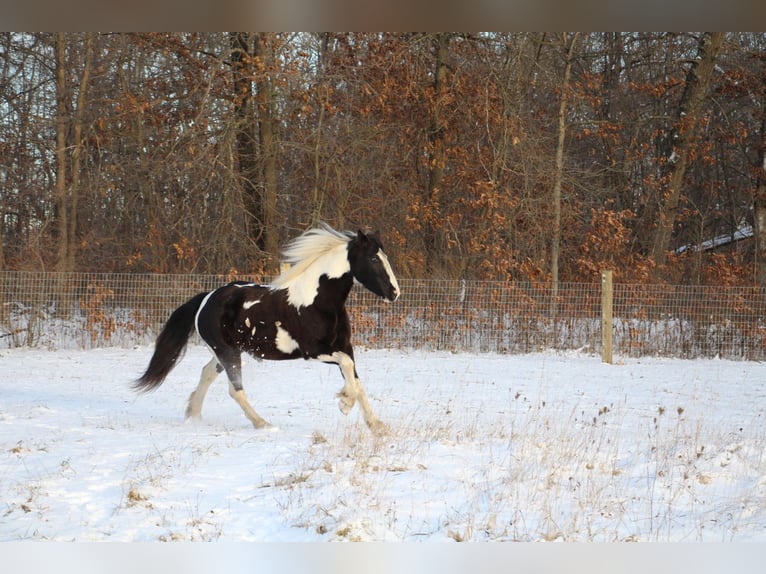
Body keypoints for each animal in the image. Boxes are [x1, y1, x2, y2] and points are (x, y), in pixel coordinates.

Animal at [135, 225, 402, 436]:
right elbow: (348, 371)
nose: (395, 293)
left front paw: (376, 425)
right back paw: (263, 424)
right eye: (374, 259)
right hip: (227, 352)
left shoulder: (344, 347)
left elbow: (356, 380)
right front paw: (345, 403)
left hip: (225, 351)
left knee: (207, 374)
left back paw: (194, 415)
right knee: (235, 390)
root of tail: (207, 298)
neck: (318, 301)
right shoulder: (314, 351)